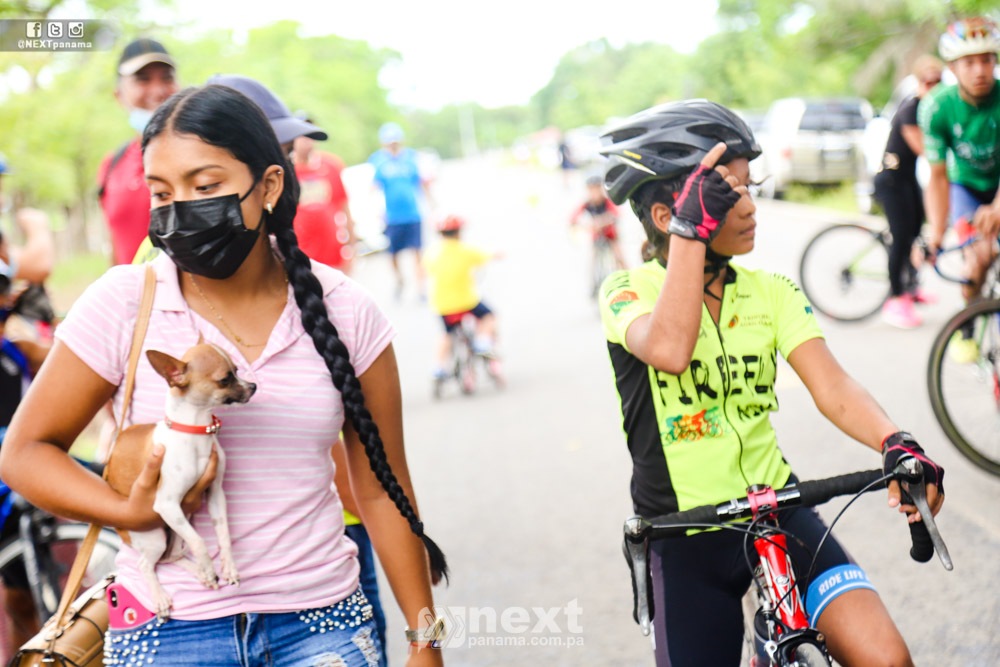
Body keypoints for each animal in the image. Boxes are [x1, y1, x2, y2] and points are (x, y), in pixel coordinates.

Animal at [106, 342, 256, 619]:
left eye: (237, 370)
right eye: (225, 379)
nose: (253, 386)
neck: (195, 432)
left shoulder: (215, 495)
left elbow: (223, 534)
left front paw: (228, 568)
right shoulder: (167, 505)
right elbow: (200, 541)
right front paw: (209, 566)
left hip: (178, 523)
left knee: (172, 555)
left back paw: (202, 574)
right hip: (155, 533)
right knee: (147, 563)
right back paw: (162, 596)